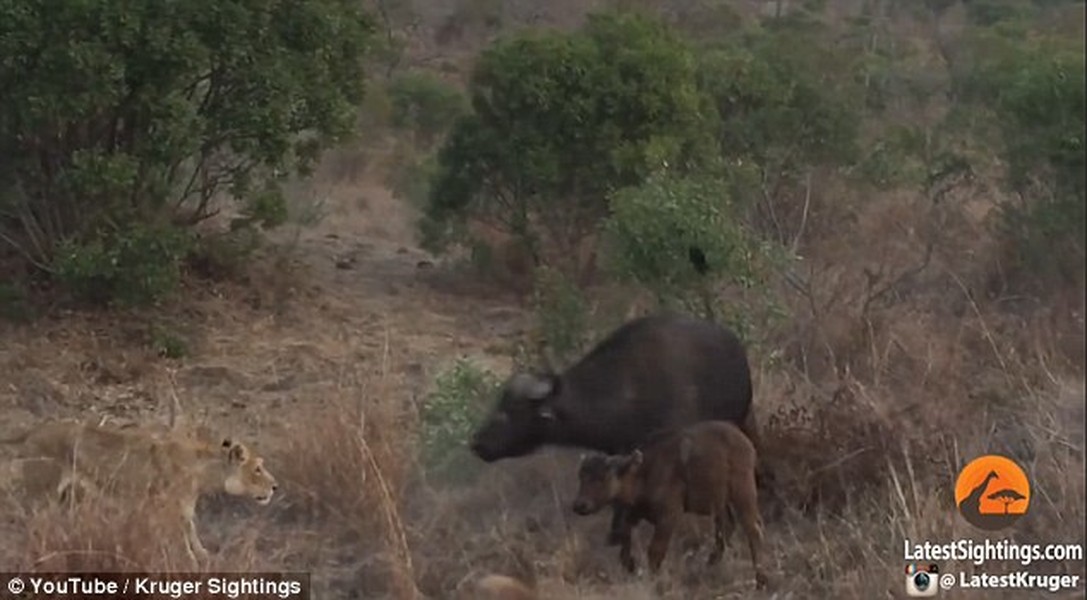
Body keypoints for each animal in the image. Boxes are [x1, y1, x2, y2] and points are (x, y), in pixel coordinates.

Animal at [573, 419, 769, 586]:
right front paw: (631, 565)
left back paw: (760, 579)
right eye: (581, 477)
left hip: (743, 493)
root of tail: (745, 442)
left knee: (753, 529)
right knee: (726, 528)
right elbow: (624, 542)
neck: (643, 472)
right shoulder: (632, 514)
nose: (580, 505)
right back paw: (708, 565)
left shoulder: (668, 517)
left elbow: (655, 550)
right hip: (720, 503)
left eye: (602, 478)